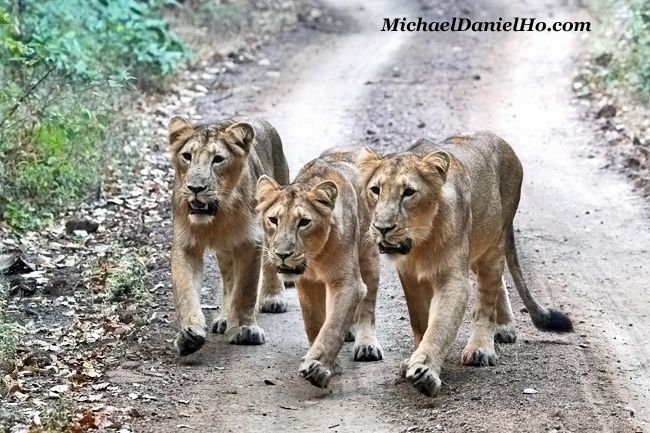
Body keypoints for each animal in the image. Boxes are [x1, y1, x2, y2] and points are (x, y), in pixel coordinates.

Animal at [167, 115, 288, 354]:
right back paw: (224, 318)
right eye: (187, 156)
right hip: (225, 249)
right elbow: (185, 291)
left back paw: (273, 298)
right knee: (228, 280)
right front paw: (188, 334)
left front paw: (244, 330)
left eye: (218, 159)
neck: (218, 216)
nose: (195, 188)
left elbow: (246, 289)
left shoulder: (250, 241)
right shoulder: (185, 245)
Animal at [256, 147, 382, 386]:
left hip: (369, 256)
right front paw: (325, 360)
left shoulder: (347, 283)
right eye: (273, 220)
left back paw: (367, 344)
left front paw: (318, 367)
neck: (314, 258)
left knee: (367, 306)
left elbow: (333, 325)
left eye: (304, 222)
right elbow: (314, 321)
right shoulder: (306, 281)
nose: (282, 255)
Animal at [360, 131, 572, 394]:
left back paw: (482, 349)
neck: (421, 242)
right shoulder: (409, 276)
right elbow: (420, 321)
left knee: (487, 295)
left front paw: (425, 371)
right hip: (476, 246)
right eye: (375, 190)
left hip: (493, 243)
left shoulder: (454, 279)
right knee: (498, 281)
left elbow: (440, 325)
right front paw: (414, 360)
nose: (382, 228)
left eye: (408, 192)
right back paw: (504, 327)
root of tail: (500, 140)